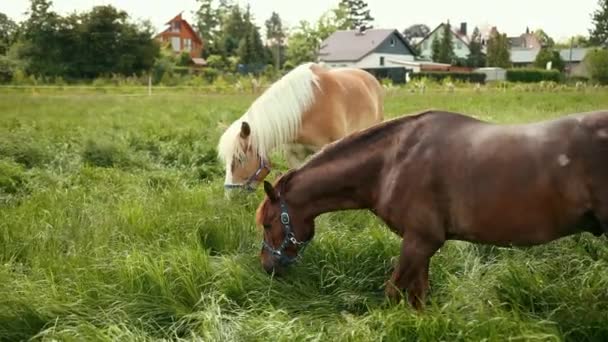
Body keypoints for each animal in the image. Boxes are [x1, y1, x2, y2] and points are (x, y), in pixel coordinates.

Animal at [255, 109, 608, 310]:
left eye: (268, 224)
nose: (267, 267)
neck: (392, 162)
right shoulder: (422, 244)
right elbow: (418, 298)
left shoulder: (419, 241)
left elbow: (393, 293)